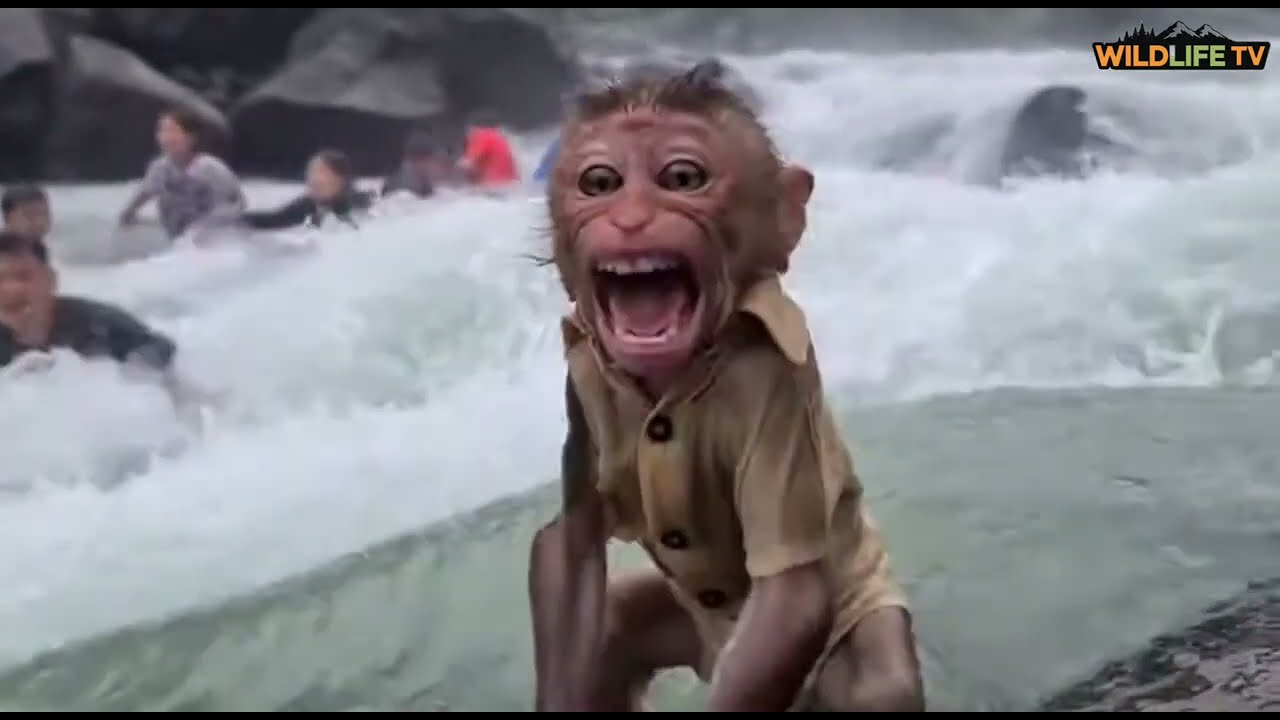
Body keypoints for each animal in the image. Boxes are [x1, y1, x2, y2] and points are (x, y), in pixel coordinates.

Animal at [527, 66, 925, 712]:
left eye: (682, 178)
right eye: (601, 183)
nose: (630, 219)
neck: (674, 380)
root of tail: (710, 657)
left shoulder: (779, 391)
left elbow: (791, 597)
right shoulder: (580, 379)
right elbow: (573, 538)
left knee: (879, 686)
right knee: (615, 626)